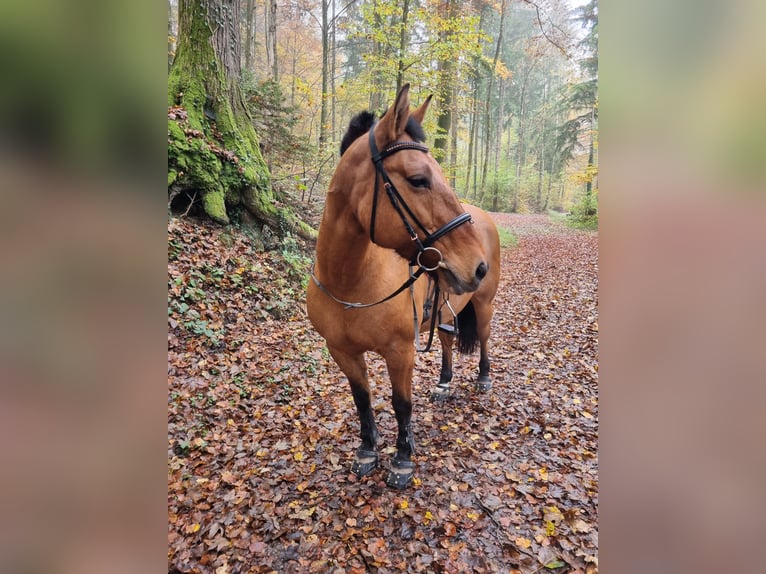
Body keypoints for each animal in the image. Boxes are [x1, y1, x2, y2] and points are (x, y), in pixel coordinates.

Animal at [308, 85, 500, 490]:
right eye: (418, 179)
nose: (478, 265)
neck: (350, 282)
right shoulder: (342, 352)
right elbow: (362, 400)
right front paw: (368, 450)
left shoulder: (400, 352)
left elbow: (401, 404)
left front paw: (403, 459)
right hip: (445, 309)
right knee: (446, 342)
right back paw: (444, 384)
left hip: (484, 305)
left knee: (485, 338)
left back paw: (483, 379)